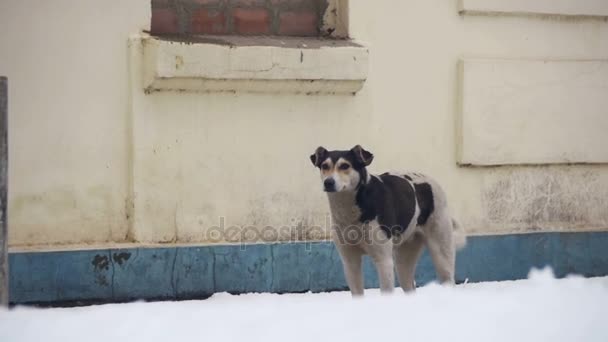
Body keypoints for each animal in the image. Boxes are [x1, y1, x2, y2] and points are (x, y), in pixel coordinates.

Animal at [308, 146, 466, 296]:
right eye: (324, 166)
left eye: (345, 166)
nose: (328, 182)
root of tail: (432, 181)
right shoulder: (350, 262)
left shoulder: (384, 261)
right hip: (403, 263)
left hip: (442, 257)